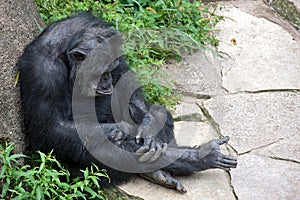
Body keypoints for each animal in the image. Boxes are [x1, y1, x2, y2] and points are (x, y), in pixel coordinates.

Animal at [17, 12, 237, 192]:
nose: (106, 80)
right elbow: (53, 127)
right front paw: (118, 130)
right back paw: (199, 157)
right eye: (100, 72)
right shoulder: (43, 75)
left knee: (153, 111)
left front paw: (150, 128)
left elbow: (124, 76)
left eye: (109, 69)